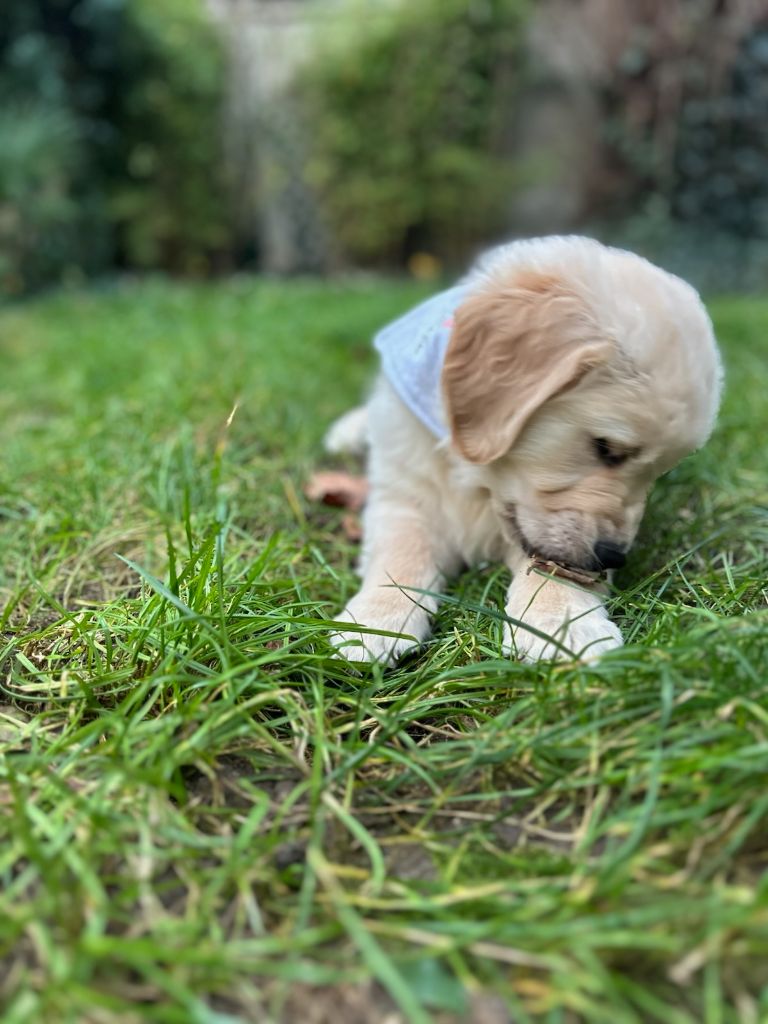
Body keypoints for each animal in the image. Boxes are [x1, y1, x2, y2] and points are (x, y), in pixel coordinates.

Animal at [327, 234, 724, 663]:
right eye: (606, 448)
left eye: (660, 472)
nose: (613, 556)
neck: (481, 483)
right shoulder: (402, 493)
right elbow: (401, 550)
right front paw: (374, 620)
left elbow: (552, 570)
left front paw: (561, 623)